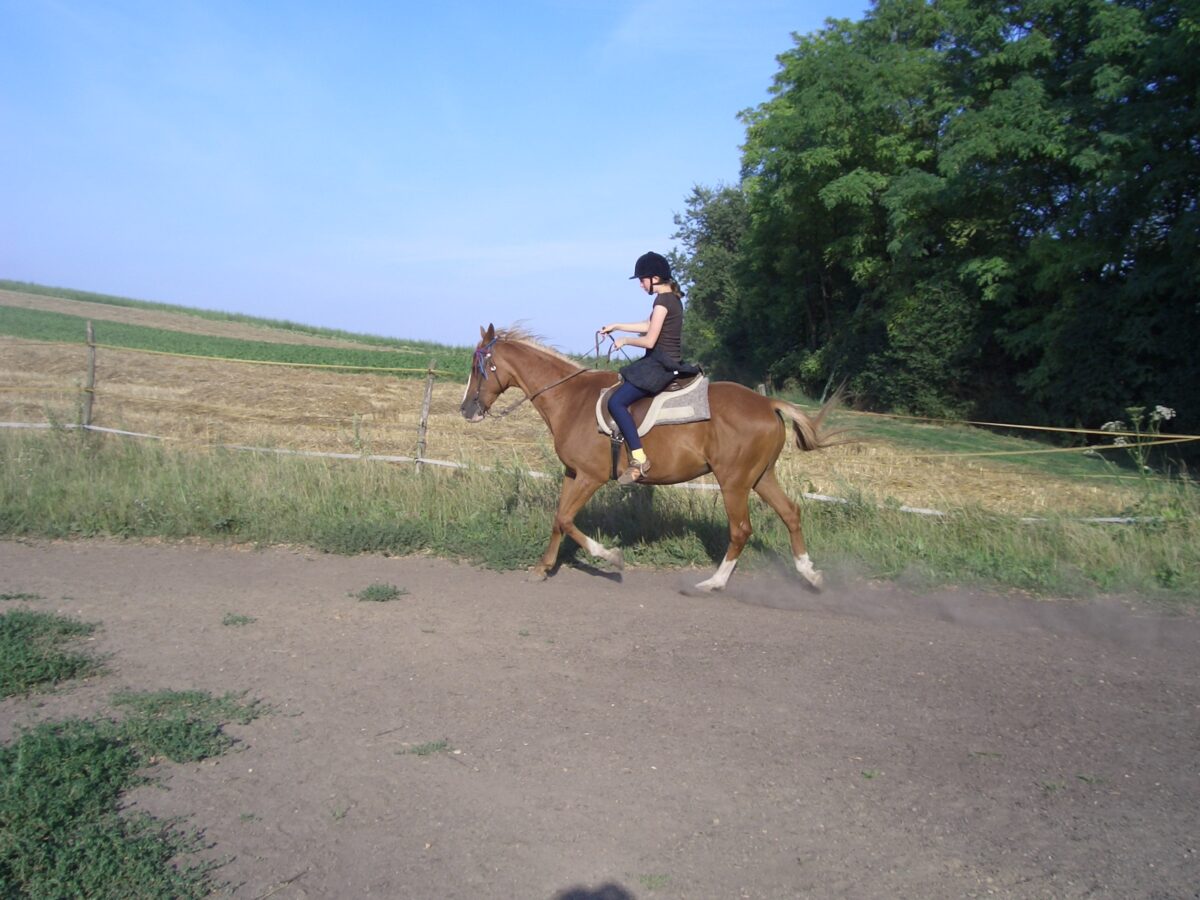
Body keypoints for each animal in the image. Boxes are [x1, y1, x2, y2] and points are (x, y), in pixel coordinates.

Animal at [458, 324, 844, 592]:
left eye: (479, 367)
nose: (466, 410)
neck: (570, 398)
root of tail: (767, 403)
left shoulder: (590, 477)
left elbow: (567, 520)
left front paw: (611, 557)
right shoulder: (573, 473)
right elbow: (558, 519)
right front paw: (542, 568)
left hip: (734, 481)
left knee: (741, 530)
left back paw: (714, 583)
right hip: (761, 476)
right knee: (791, 513)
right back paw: (810, 574)